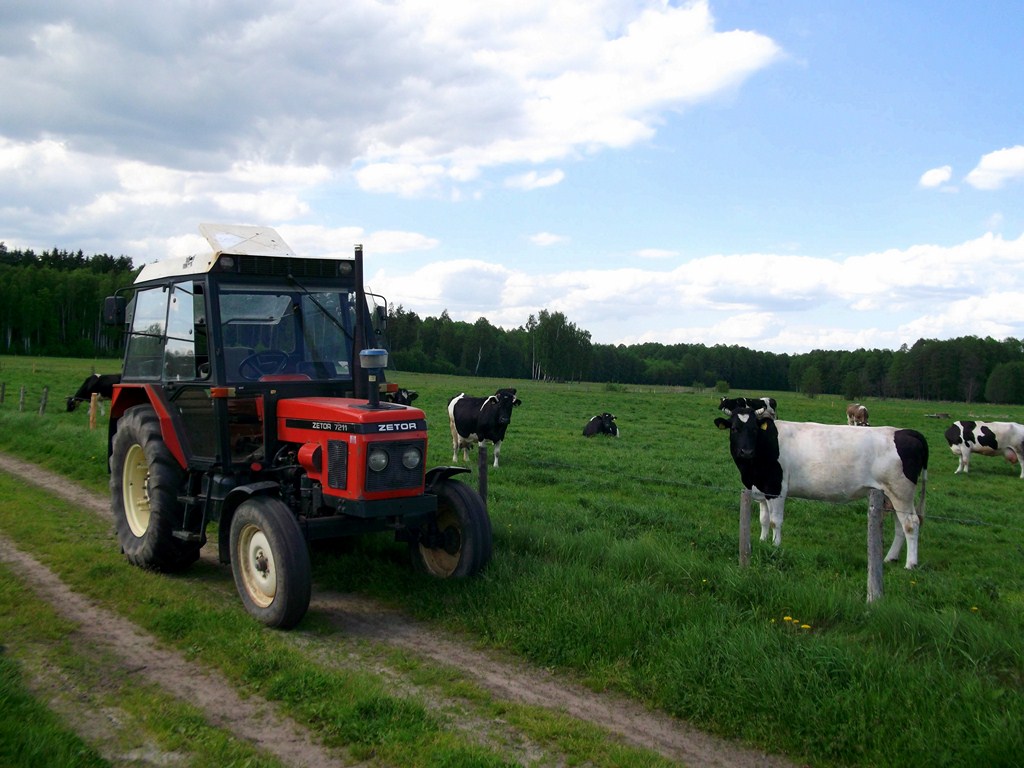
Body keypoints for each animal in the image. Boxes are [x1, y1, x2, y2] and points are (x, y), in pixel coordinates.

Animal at [715, 406, 928, 569]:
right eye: (734, 428)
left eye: (754, 429)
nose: (746, 451)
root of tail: (904, 431)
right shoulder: (762, 488)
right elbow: (763, 519)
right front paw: (762, 541)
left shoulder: (777, 489)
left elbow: (776, 521)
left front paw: (775, 546)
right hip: (889, 495)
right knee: (900, 525)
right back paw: (890, 557)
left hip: (900, 492)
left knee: (911, 523)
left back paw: (910, 564)